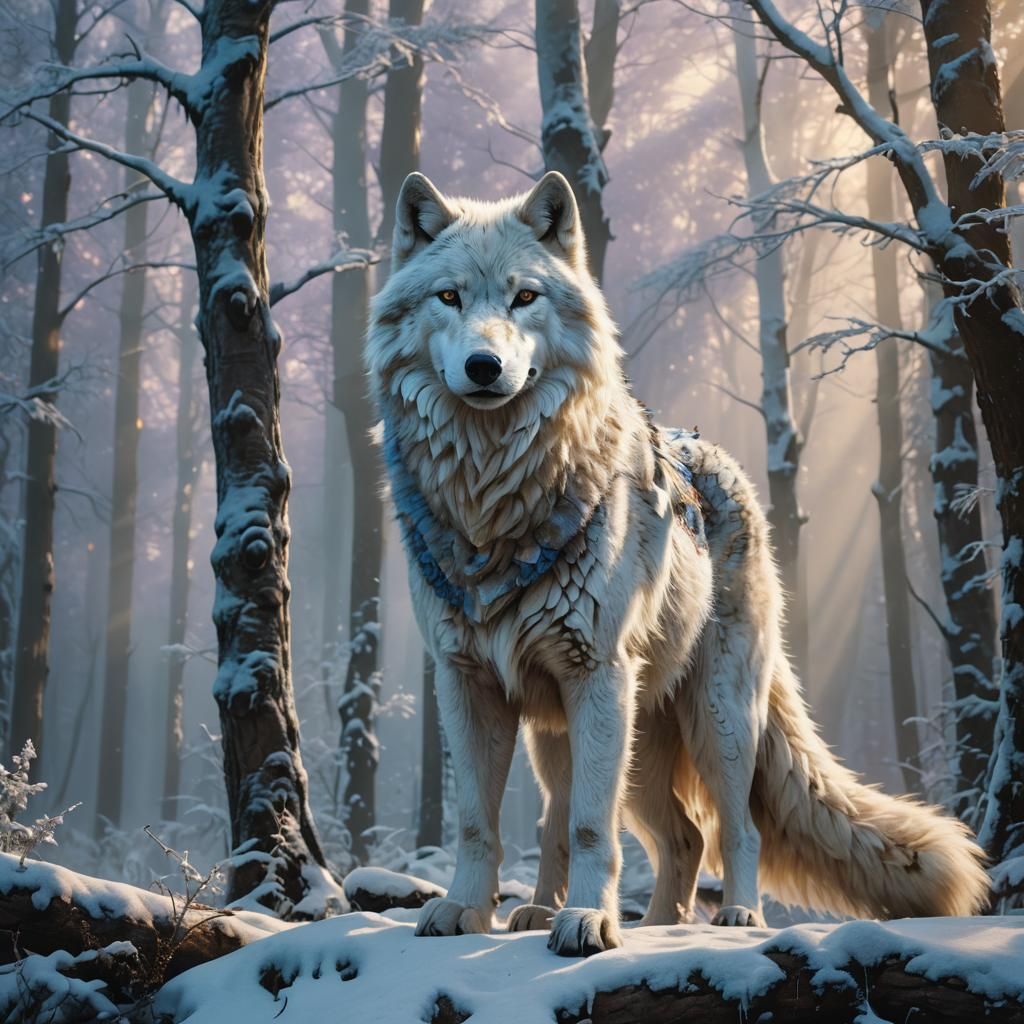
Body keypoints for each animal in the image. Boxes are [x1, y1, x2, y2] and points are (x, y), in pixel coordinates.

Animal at [366, 169, 989, 957]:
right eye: (449, 297)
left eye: (523, 297)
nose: (485, 366)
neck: (493, 502)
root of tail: (718, 457)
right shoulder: (466, 683)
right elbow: (482, 823)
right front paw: (464, 913)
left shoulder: (596, 675)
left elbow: (592, 828)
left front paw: (589, 923)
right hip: (578, 737)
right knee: (666, 834)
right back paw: (618, 920)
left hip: (711, 719)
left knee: (732, 828)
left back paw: (733, 916)